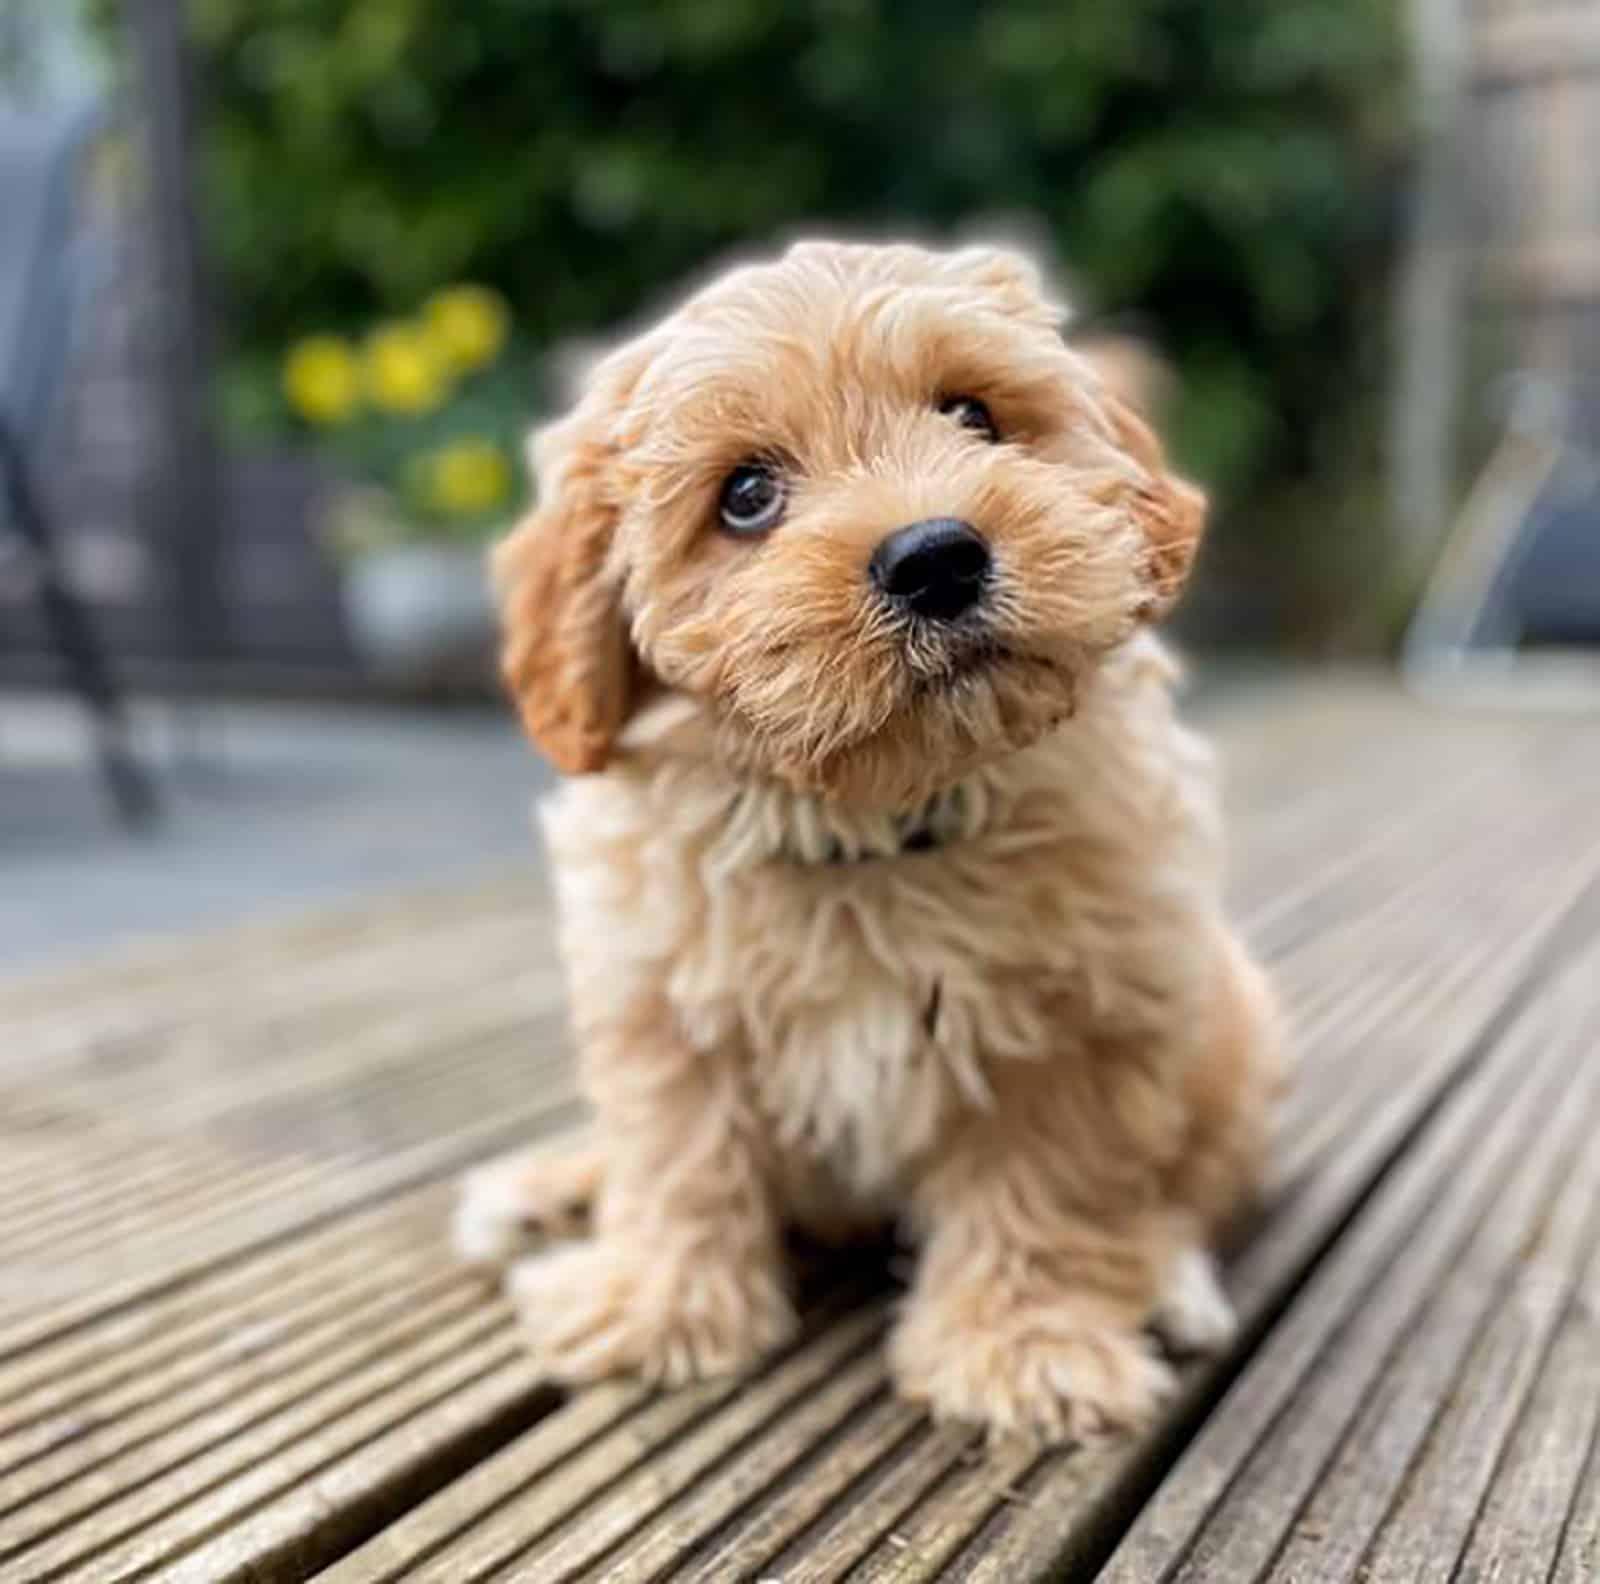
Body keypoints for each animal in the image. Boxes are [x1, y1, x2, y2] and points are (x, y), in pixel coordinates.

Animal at [457, 241, 1280, 1446]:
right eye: (746, 495)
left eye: (973, 414)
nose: (936, 557)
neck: (876, 834)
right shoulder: (658, 999)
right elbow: (675, 1153)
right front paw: (658, 1307)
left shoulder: (1086, 1017)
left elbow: (1049, 1186)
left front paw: (1023, 1349)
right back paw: (550, 1190)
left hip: (1237, 1035)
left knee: (1186, 1190)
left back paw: (1166, 1280)